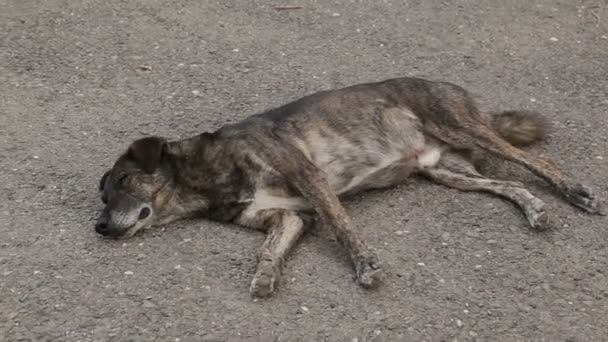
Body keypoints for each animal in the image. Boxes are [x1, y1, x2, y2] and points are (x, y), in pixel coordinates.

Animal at [96, 77, 604, 296]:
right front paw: (266, 275)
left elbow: (342, 227)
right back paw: (533, 207)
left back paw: (576, 192)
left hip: (462, 128)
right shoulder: (288, 217)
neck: (204, 178)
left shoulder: (310, 178)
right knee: (505, 183)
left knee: (536, 160)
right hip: (449, 172)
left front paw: (365, 266)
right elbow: (269, 250)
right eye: (102, 194)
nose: (99, 227)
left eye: (123, 179)